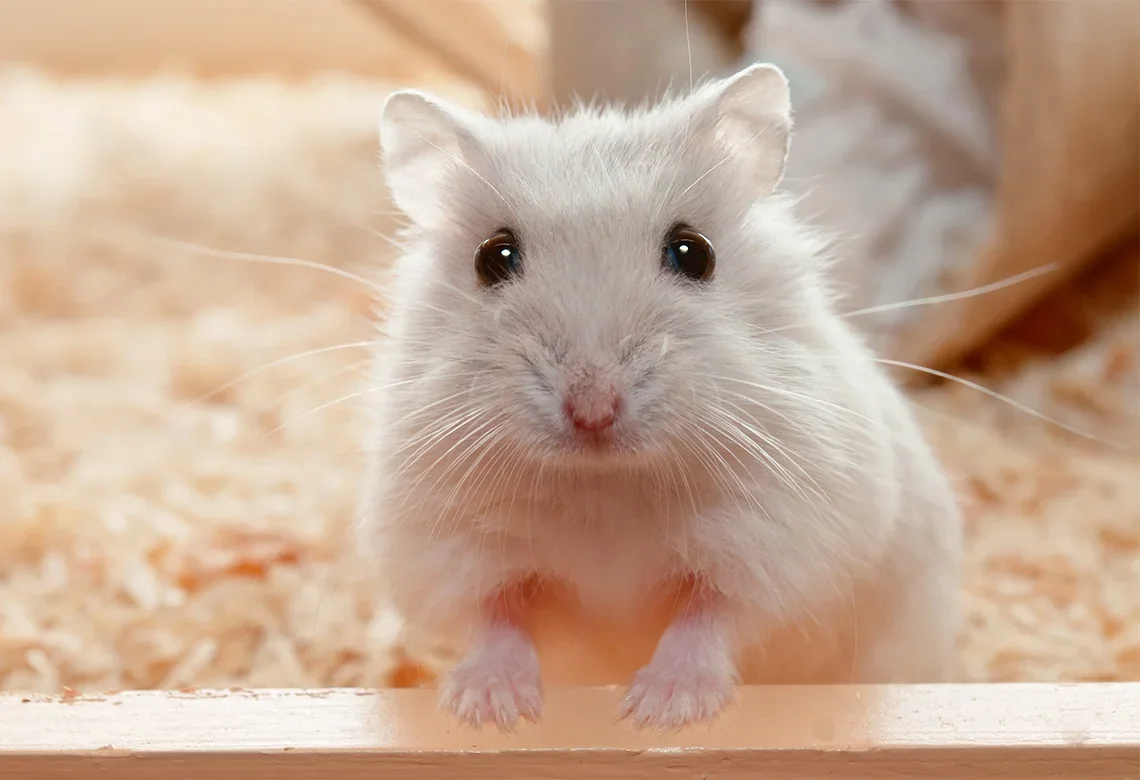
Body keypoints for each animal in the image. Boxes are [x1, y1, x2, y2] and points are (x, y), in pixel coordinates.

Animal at [361, 62, 963, 732]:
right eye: (493, 257)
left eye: (693, 252)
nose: (593, 410)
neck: (605, 486)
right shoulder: (448, 548)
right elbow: (495, 617)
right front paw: (494, 711)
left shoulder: (780, 542)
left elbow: (710, 617)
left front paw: (659, 711)